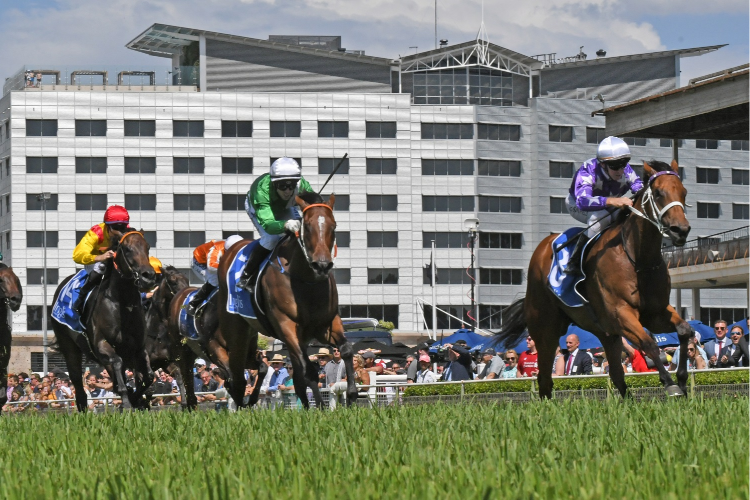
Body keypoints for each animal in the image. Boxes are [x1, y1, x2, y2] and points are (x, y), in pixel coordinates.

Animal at [51, 230, 159, 410]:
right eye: (127, 249)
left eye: (148, 247)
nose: (148, 276)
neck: (123, 303)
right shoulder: (101, 344)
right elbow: (117, 363)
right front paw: (127, 403)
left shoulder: (138, 348)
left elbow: (148, 376)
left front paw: (136, 399)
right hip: (69, 347)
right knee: (78, 382)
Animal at [219, 191, 360, 410]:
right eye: (307, 226)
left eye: (334, 225)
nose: (322, 265)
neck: (306, 281)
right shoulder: (286, 326)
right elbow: (309, 370)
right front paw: (321, 407)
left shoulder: (326, 324)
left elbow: (345, 350)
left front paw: (352, 395)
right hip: (237, 329)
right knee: (236, 369)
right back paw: (241, 398)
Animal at [496, 161, 696, 398]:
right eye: (657, 193)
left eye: (684, 192)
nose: (680, 230)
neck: (638, 259)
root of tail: (542, 248)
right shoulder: (620, 313)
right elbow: (648, 343)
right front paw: (670, 383)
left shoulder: (655, 313)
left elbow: (684, 330)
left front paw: (682, 380)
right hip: (545, 330)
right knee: (544, 378)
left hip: (605, 333)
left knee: (616, 374)